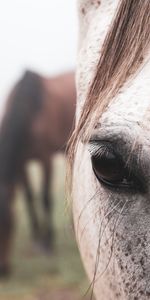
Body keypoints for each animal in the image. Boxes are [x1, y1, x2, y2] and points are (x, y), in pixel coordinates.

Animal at [0, 69, 75, 276]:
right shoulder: (21, 163)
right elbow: (28, 197)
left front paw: (47, 243)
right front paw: (36, 239)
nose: (3, 270)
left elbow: (45, 198)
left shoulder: (45, 158)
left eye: (10, 224)